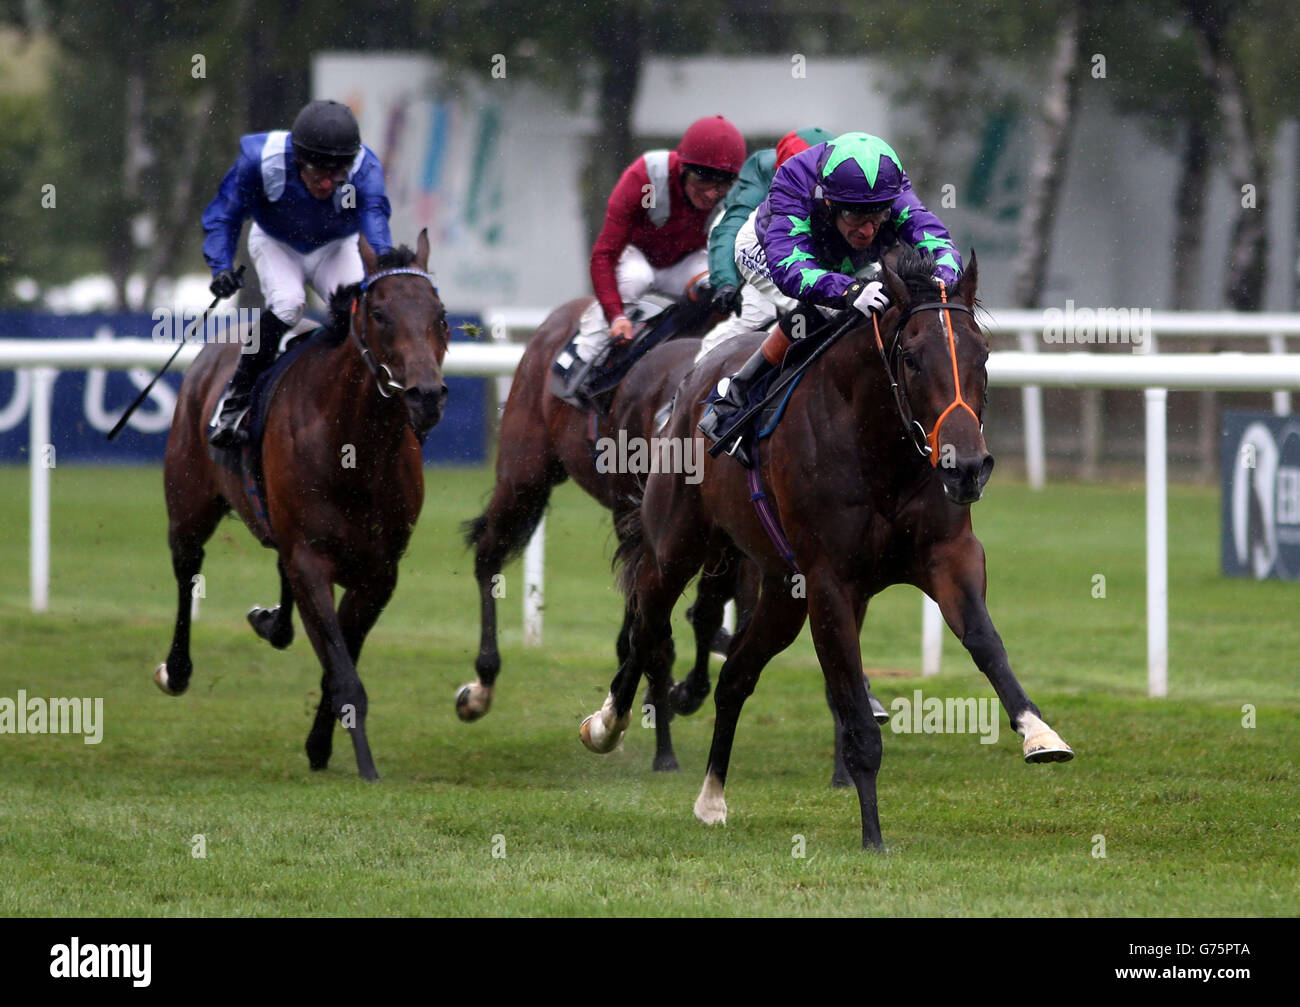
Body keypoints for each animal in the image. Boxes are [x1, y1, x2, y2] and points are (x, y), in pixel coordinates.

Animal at [154, 233, 449, 779]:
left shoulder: (380, 572)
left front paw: (320, 745)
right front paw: (366, 766)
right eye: (379, 314)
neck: (354, 450)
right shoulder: (311, 558)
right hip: (189, 501)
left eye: (439, 314)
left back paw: (272, 622)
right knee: (186, 568)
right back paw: (177, 671)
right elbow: (343, 671)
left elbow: (338, 665)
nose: (427, 395)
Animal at [460, 293, 754, 774]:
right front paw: (662, 742)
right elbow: (659, 628)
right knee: (488, 552)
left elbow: (703, 615)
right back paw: (481, 684)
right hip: (526, 473)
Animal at [585, 249, 1071, 852]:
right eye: (911, 357)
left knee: (735, 676)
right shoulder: (832, 584)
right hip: (676, 547)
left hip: (782, 592)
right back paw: (607, 725)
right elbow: (856, 715)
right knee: (647, 625)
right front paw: (873, 836)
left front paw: (1038, 732)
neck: (880, 452)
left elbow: (985, 642)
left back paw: (712, 797)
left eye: (982, 353)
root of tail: (691, 381)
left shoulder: (949, 555)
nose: (967, 467)